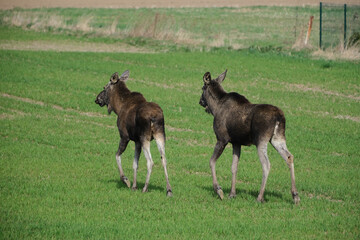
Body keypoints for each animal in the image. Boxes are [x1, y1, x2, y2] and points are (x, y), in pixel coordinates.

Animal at [198, 70, 300, 203]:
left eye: (202, 88)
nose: (200, 101)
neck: (215, 107)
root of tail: (279, 117)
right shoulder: (236, 142)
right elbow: (234, 167)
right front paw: (232, 193)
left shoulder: (222, 139)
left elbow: (211, 161)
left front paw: (219, 190)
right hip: (278, 139)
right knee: (289, 157)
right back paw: (295, 195)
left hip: (261, 140)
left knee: (266, 165)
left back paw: (260, 197)